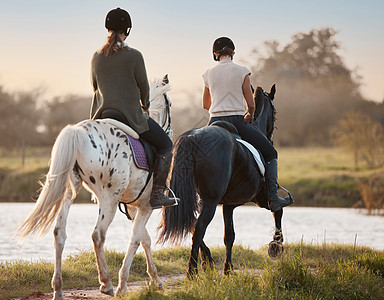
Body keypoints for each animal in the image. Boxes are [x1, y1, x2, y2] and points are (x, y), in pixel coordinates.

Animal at [16, 74, 172, 298]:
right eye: (170, 104)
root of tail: (78, 131)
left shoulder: (134, 207)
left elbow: (144, 239)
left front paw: (155, 280)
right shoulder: (145, 206)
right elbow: (136, 239)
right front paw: (123, 285)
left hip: (69, 193)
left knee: (59, 233)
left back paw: (58, 289)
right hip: (108, 201)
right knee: (98, 235)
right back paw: (106, 283)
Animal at [158, 84, 286, 276]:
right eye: (275, 112)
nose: (270, 139)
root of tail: (192, 138)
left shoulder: (228, 204)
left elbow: (229, 236)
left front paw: (228, 269)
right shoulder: (260, 198)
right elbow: (278, 210)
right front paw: (276, 245)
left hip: (194, 198)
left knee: (192, 224)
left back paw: (207, 262)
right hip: (211, 201)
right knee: (199, 228)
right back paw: (192, 271)